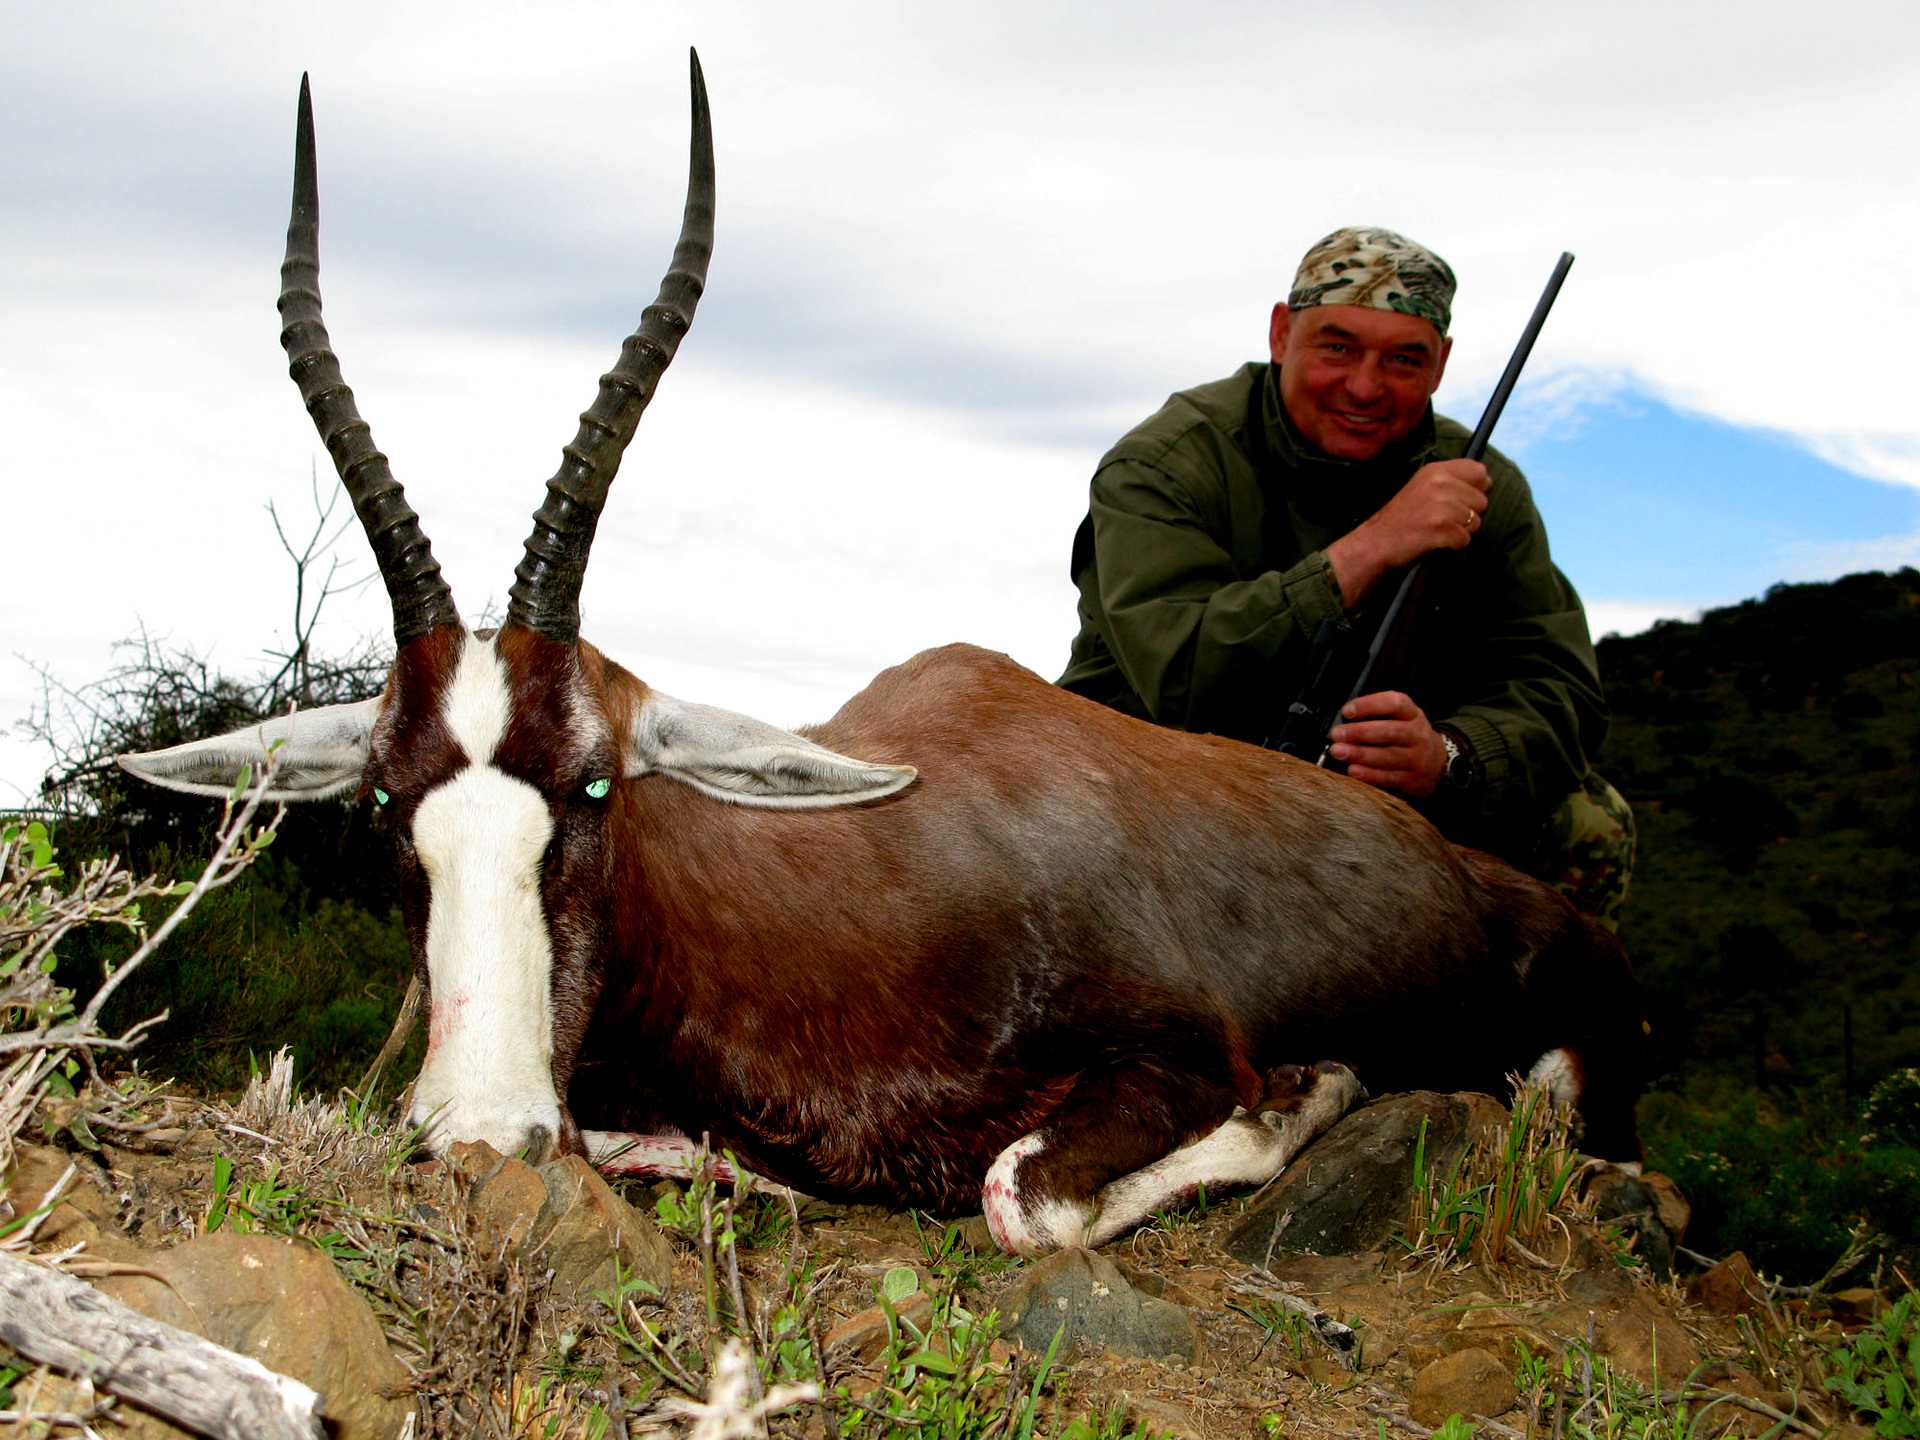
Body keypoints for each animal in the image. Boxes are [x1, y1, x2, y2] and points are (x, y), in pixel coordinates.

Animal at [123, 56, 1651, 1251]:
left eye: (597, 785)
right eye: (386, 799)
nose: (483, 1131)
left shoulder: (1164, 1058)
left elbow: (1025, 1197)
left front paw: (1322, 1088)